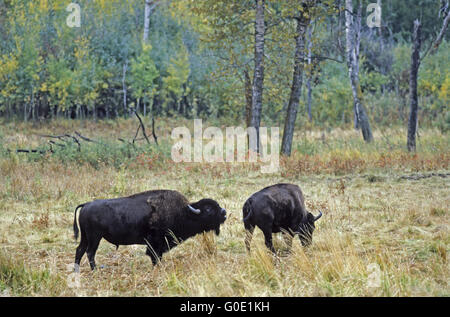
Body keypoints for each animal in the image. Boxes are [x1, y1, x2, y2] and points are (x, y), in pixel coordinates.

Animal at [74, 189, 229, 270]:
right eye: (208, 209)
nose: (224, 213)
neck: (185, 212)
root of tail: (86, 204)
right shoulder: (155, 243)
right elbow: (155, 256)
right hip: (95, 237)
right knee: (90, 252)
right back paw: (94, 270)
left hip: (86, 237)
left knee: (80, 250)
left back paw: (77, 270)